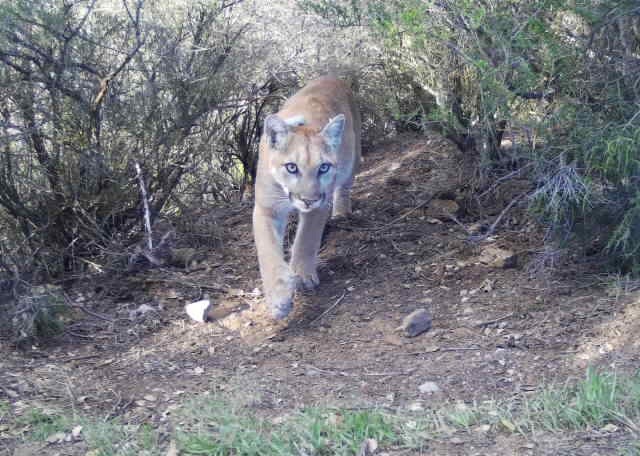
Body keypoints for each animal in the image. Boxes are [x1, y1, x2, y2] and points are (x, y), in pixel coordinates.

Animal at [254, 76, 360, 318]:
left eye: (323, 167)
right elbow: (267, 251)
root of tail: (332, 77)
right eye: (291, 167)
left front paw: (302, 275)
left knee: (344, 186)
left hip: (353, 158)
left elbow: (306, 238)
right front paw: (278, 297)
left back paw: (341, 212)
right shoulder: (266, 207)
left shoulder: (321, 203)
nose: (308, 200)